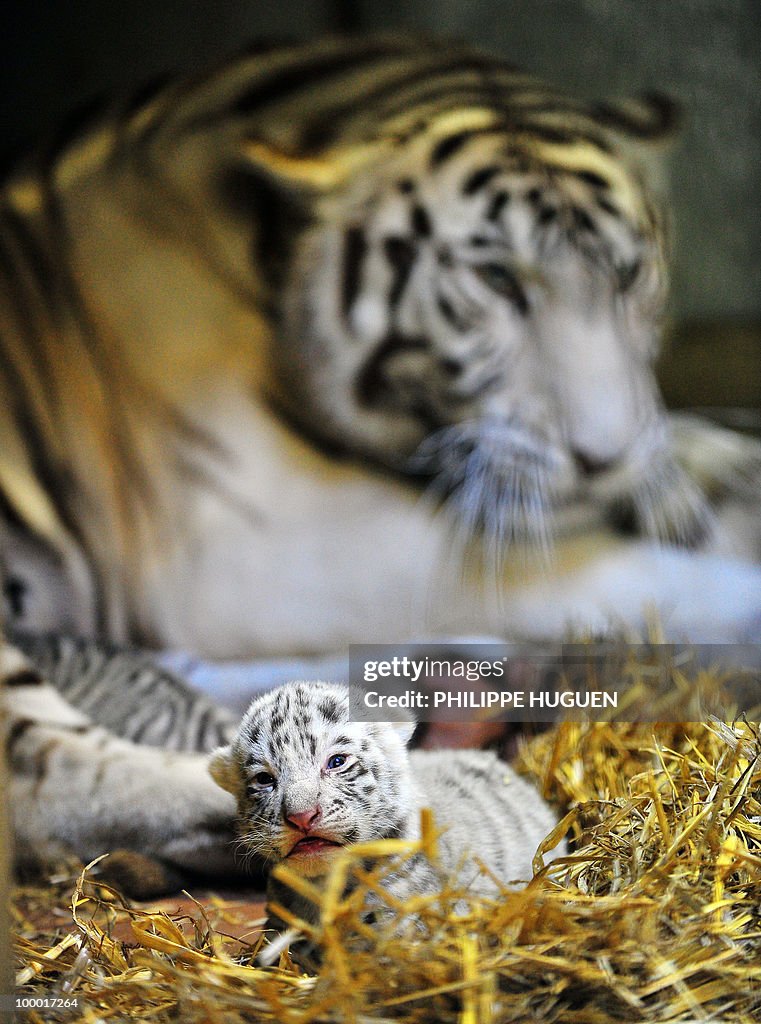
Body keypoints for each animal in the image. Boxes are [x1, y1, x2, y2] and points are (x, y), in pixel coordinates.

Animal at [1, 36, 761, 888]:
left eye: (628, 275)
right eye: (497, 279)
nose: (603, 456)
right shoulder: (257, 547)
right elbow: (636, 582)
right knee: (63, 776)